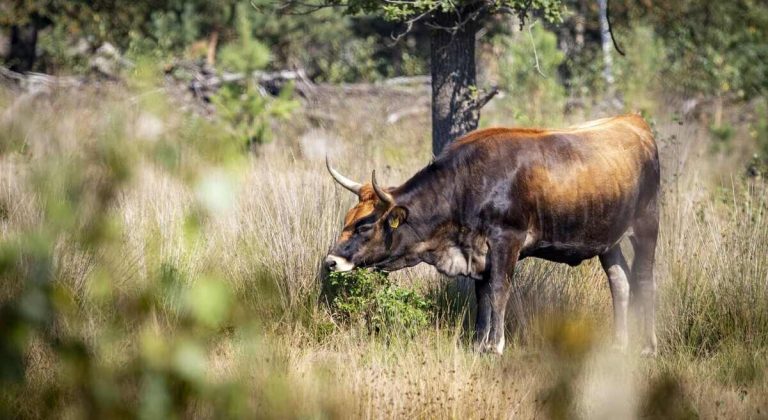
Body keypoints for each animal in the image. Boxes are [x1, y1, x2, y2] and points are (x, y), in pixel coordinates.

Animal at [324, 114, 660, 354]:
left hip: (647, 224)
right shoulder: (479, 252)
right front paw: (479, 344)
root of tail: (634, 121)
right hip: (608, 240)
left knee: (644, 279)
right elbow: (482, 294)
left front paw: (496, 345)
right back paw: (619, 344)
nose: (331, 261)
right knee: (619, 282)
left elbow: (499, 289)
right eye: (347, 219)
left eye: (364, 225)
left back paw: (647, 347)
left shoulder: (505, 241)